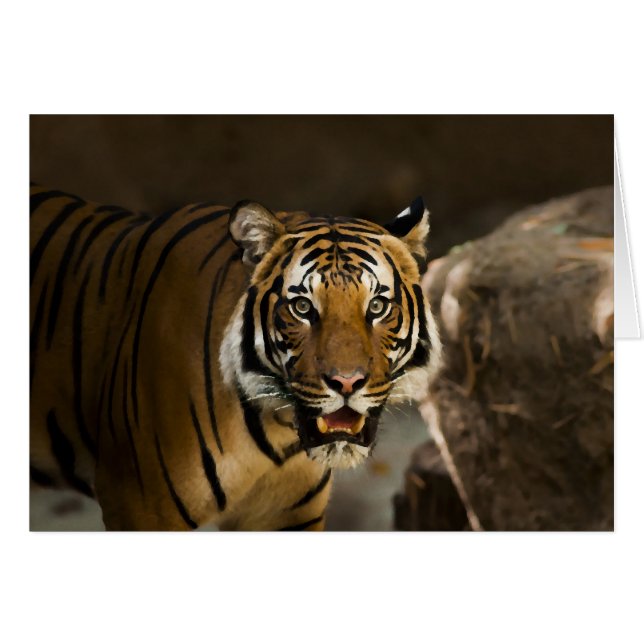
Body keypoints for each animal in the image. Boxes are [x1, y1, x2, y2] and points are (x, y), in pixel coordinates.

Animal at [30, 184, 442, 530]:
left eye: (377, 306)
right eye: (303, 308)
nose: (346, 382)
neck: (276, 432)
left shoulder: (290, 517)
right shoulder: (140, 506)